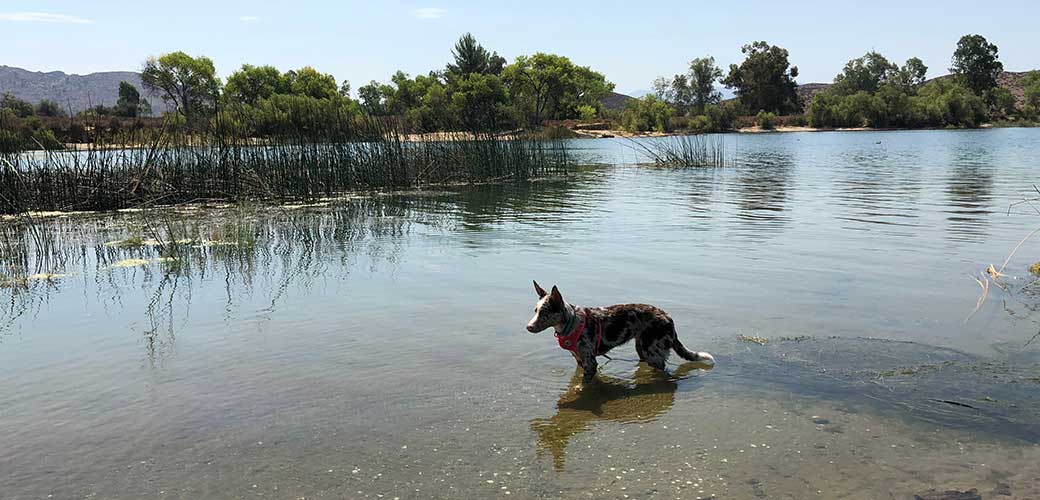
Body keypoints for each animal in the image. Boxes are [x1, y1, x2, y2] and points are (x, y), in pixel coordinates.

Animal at [528, 280, 715, 382]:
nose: (528, 327)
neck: (572, 323)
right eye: (535, 310)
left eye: (544, 313)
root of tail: (668, 318)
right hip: (641, 348)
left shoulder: (590, 362)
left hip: (652, 352)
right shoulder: (579, 360)